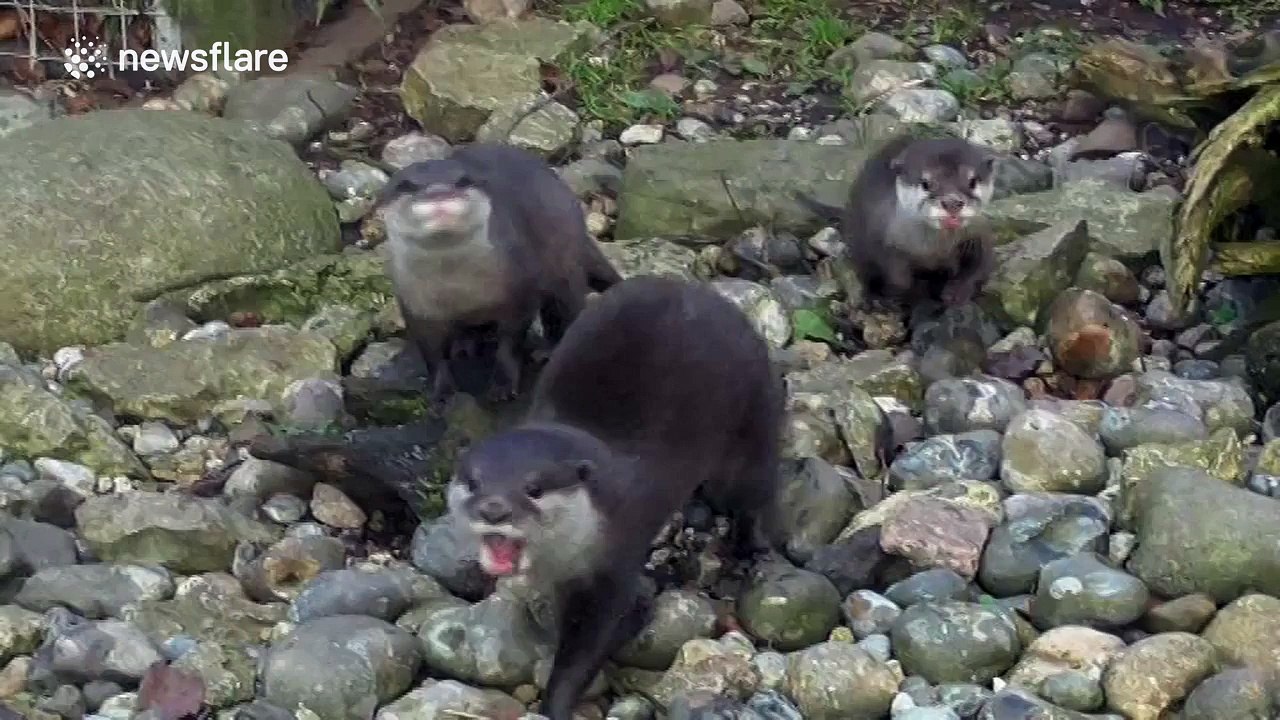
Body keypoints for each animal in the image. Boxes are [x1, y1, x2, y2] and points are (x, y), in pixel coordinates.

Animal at [375, 143, 622, 402]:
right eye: (406, 185)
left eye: (463, 180)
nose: (439, 193)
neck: (458, 288)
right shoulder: (416, 307)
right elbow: (431, 354)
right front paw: (442, 392)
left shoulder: (520, 290)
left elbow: (511, 341)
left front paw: (503, 385)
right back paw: (465, 344)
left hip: (564, 262)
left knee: (565, 307)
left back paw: (549, 350)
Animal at [445, 276, 785, 720]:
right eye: (474, 482)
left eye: (534, 488)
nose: (494, 508)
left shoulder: (613, 564)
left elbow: (590, 642)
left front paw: (557, 701)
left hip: (753, 413)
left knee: (755, 488)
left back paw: (749, 551)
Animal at [798, 134, 998, 307]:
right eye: (926, 183)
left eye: (972, 181)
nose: (952, 202)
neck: (932, 250)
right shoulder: (882, 239)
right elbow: (897, 277)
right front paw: (891, 296)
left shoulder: (980, 235)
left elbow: (981, 266)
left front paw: (956, 292)